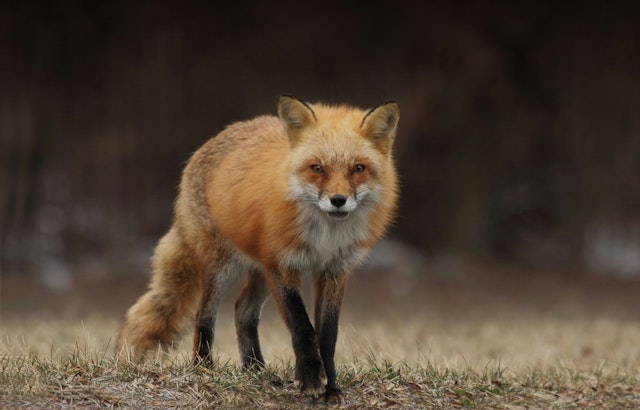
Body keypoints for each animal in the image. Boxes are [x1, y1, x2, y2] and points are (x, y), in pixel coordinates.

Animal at [117, 95, 399, 399]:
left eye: (358, 168)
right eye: (317, 168)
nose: (338, 200)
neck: (325, 237)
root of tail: (214, 139)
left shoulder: (334, 271)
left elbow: (327, 334)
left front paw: (331, 386)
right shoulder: (282, 265)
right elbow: (302, 326)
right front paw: (310, 379)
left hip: (261, 272)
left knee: (243, 311)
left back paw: (255, 369)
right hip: (223, 267)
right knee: (204, 316)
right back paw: (204, 367)